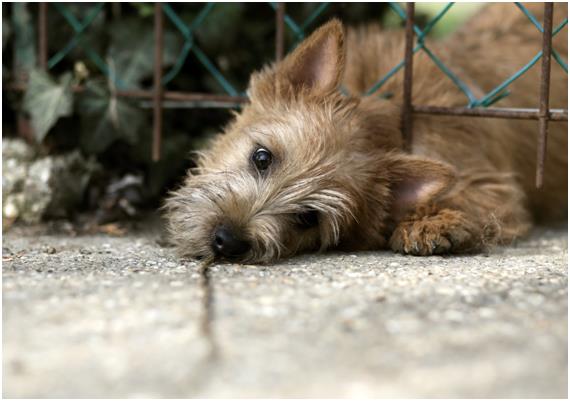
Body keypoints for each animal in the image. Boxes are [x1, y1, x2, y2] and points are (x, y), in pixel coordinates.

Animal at [163, 3, 564, 262]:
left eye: (308, 218)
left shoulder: (492, 184)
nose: (227, 241)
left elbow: (473, 199)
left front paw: (434, 223)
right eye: (262, 157)